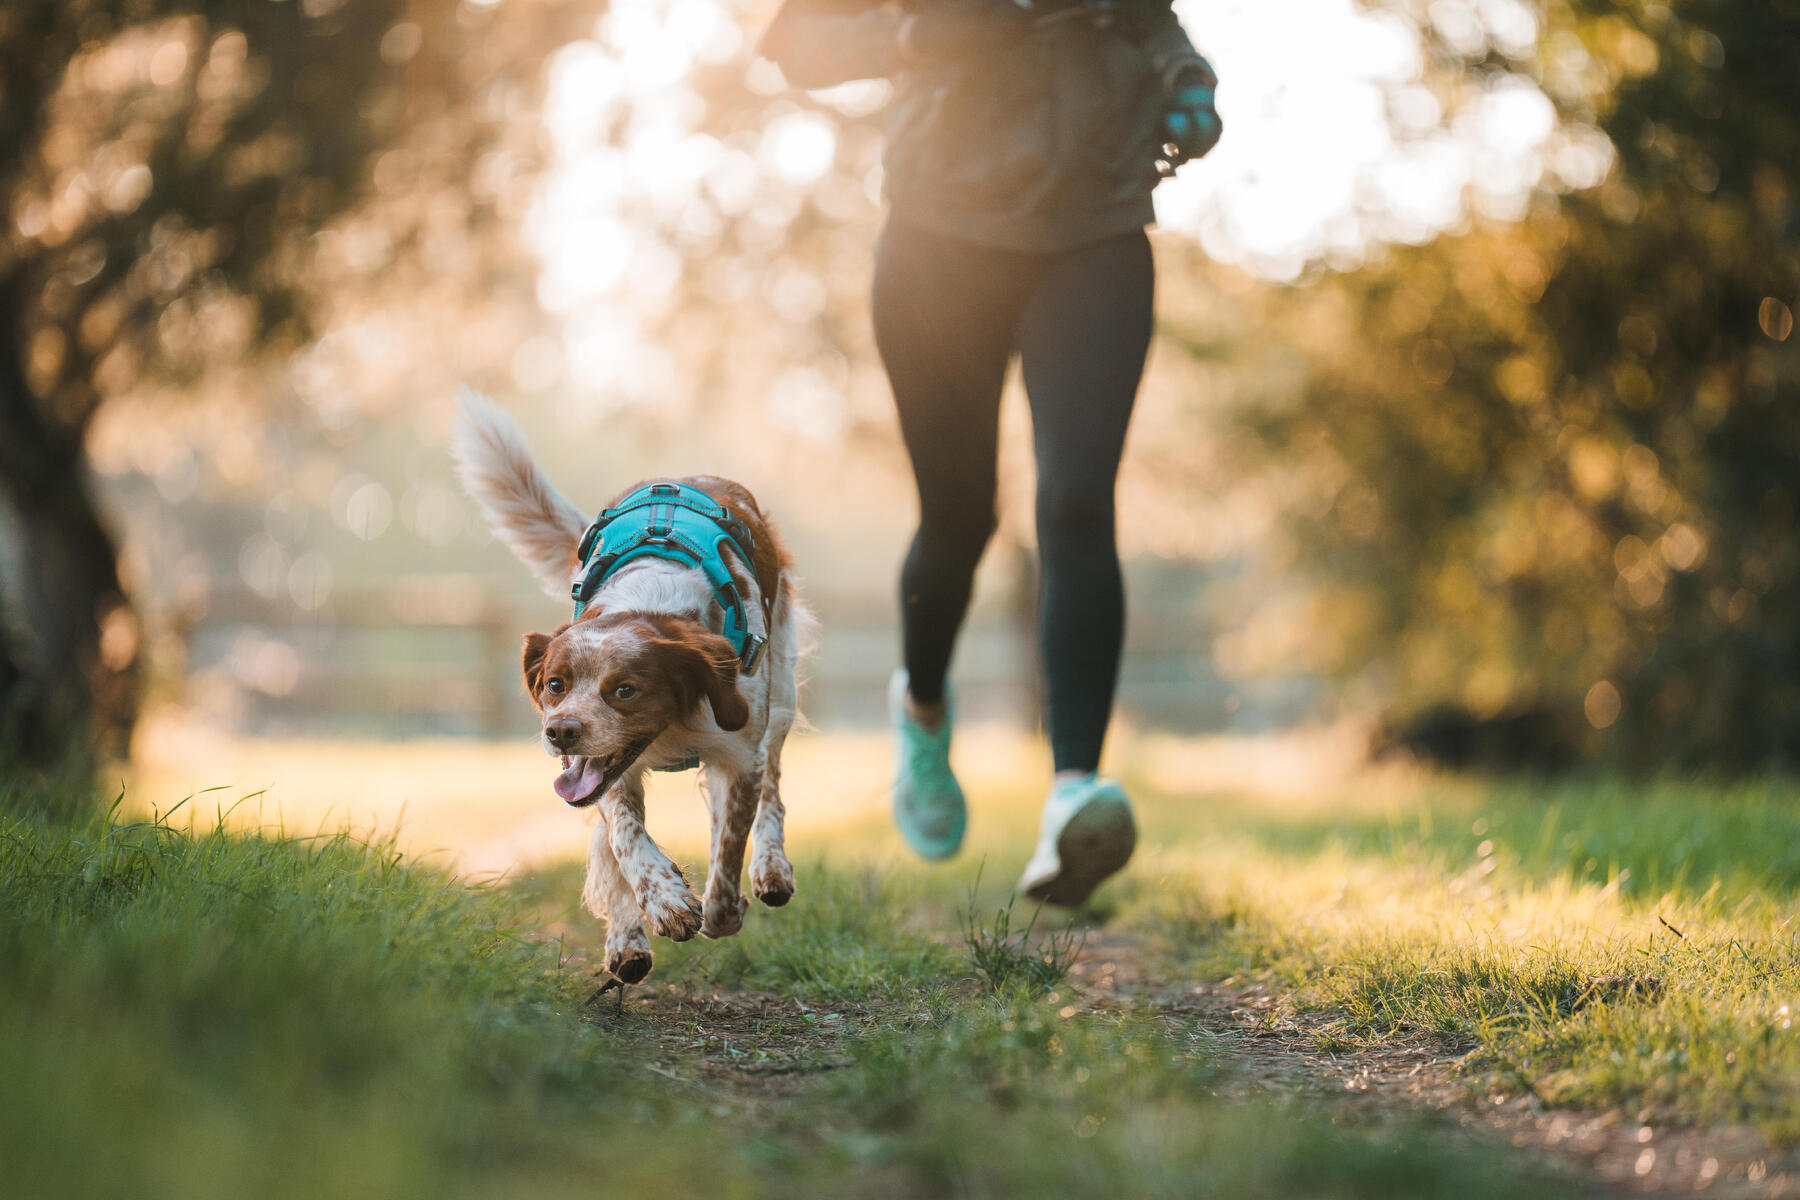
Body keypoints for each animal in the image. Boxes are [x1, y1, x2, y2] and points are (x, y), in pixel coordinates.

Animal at [450, 394, 810, 985]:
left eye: (626, 690)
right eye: (555, 684)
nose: (560, 732)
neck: (652, 601)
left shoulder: (740, 752)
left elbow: (728, 856)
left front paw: (722, 905)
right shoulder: (606, 770)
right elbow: (623, 838)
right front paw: (662, 901)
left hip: (780, 698)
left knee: (772, 796)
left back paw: (771, 869)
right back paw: (627, 941)